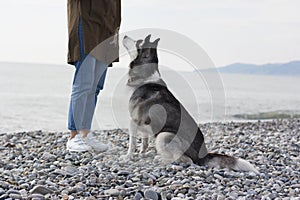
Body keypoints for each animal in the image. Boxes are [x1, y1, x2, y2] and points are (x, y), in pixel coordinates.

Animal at [122, 34, 258, 173]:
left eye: (137, 41)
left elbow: (132, 143)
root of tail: (203, 156)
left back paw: (162, 160)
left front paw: (128, 156)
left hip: (164, 135)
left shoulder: (134, 120)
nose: (124, 35)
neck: (145, 77)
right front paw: (141, 153)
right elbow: (144, 142)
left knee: (187, 160)